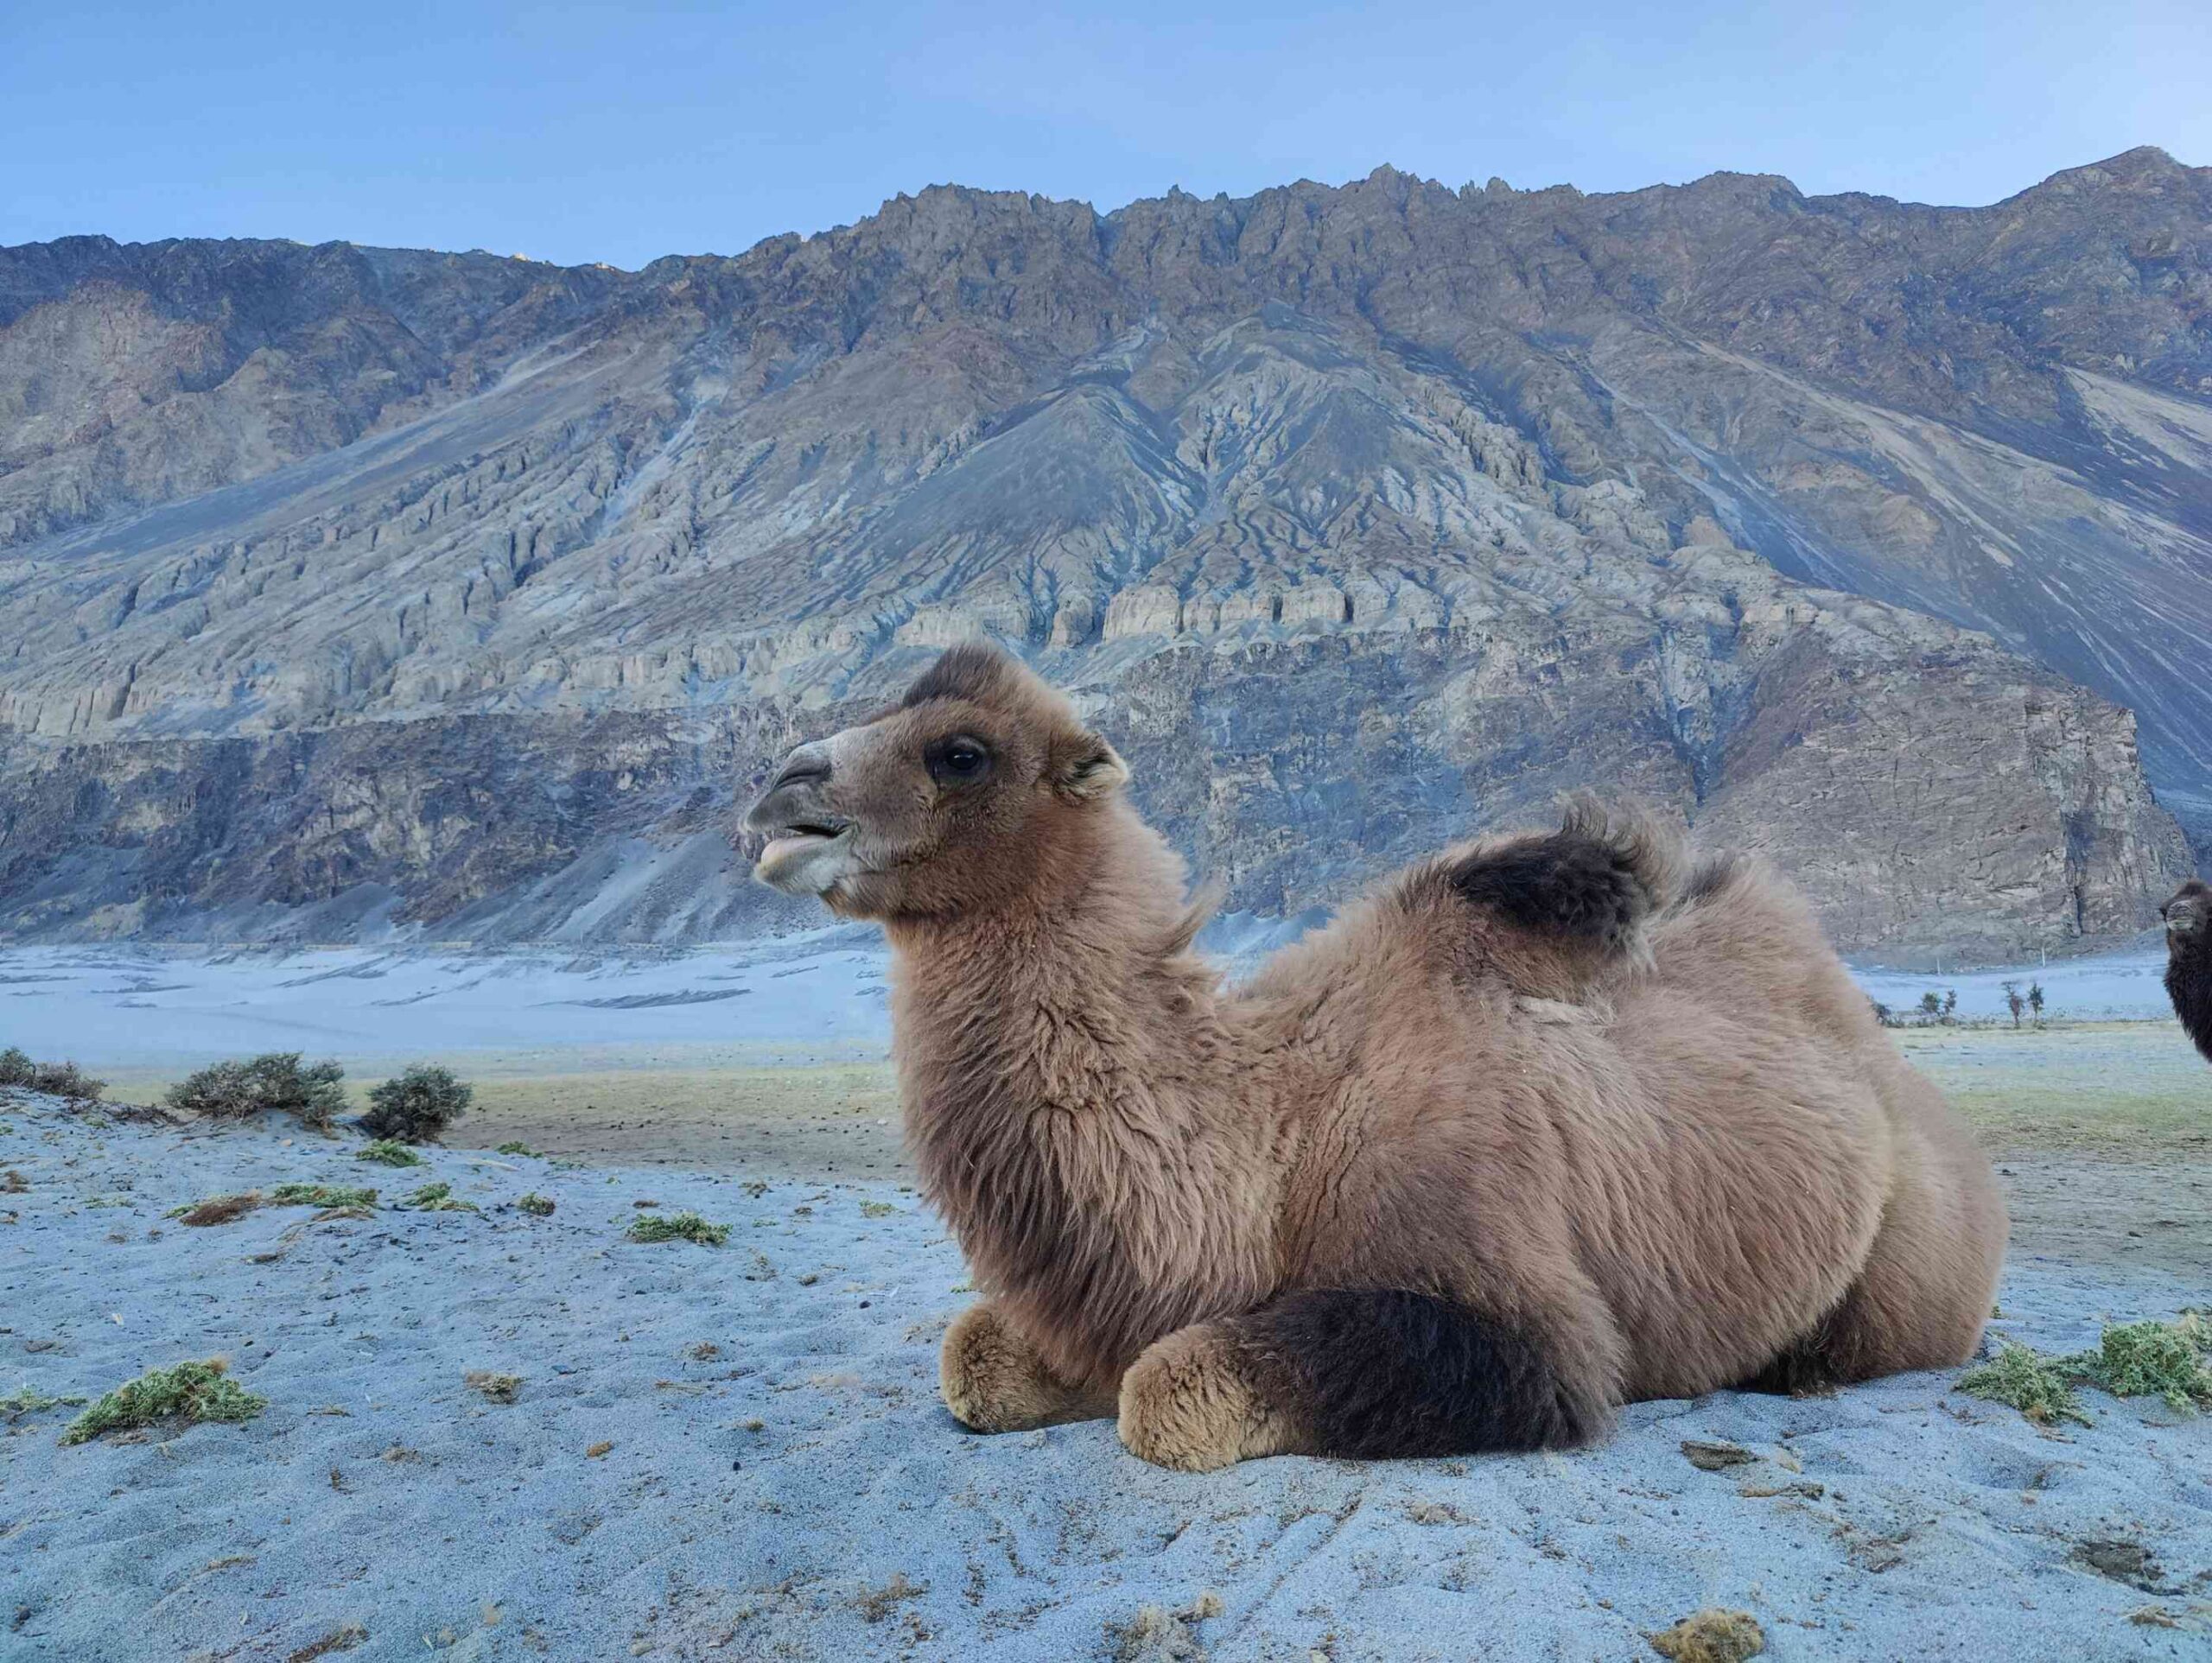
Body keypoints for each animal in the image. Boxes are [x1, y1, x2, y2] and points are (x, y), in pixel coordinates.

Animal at [743, 645, 2008, 1468]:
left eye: (960, 752)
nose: (779, 792)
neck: (1271, 1139)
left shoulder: (1518, 1322)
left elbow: (1164, 1392)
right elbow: (974, 1359)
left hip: (1915, 1276)